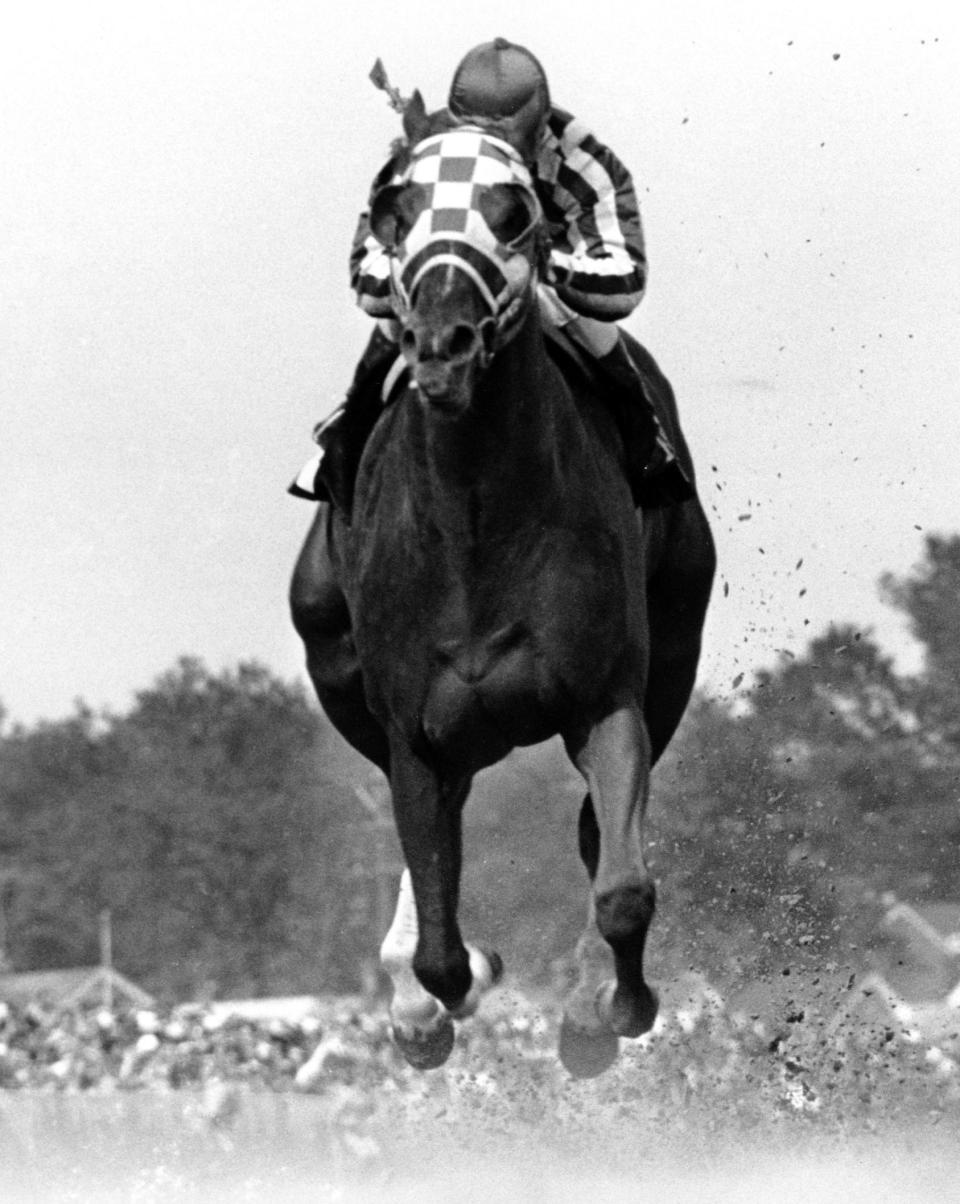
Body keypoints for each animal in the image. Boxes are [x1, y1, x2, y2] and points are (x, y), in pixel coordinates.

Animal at [287, 113, 713, 1078]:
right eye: (395, 209)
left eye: (514, 213)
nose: (442, 343)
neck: (477, 518)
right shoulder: (414, 727)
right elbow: (441, 945)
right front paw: (445, 991)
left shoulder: (607, 697)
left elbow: (623, 886)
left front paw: (602, 1016)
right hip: (334, 653)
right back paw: (415, 1001)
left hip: (673, 649)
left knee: (596, 832)